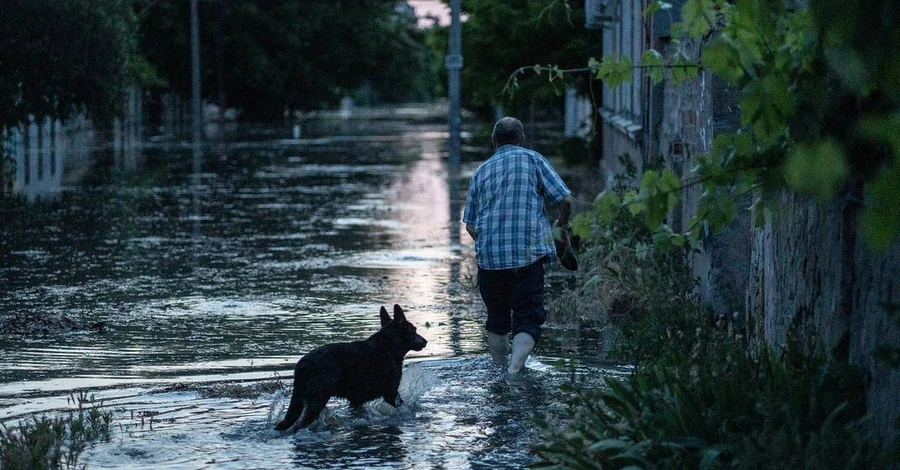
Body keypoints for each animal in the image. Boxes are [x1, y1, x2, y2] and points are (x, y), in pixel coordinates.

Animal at [272, 302, 428, 432]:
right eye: (414, 330)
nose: (425, 341)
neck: (390, 346)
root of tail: (303, 365)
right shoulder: (391, 392)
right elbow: (405, 407)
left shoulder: (357, 400)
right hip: (317, 399)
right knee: (298, 425)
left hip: (298, 400)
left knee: (285, 422)